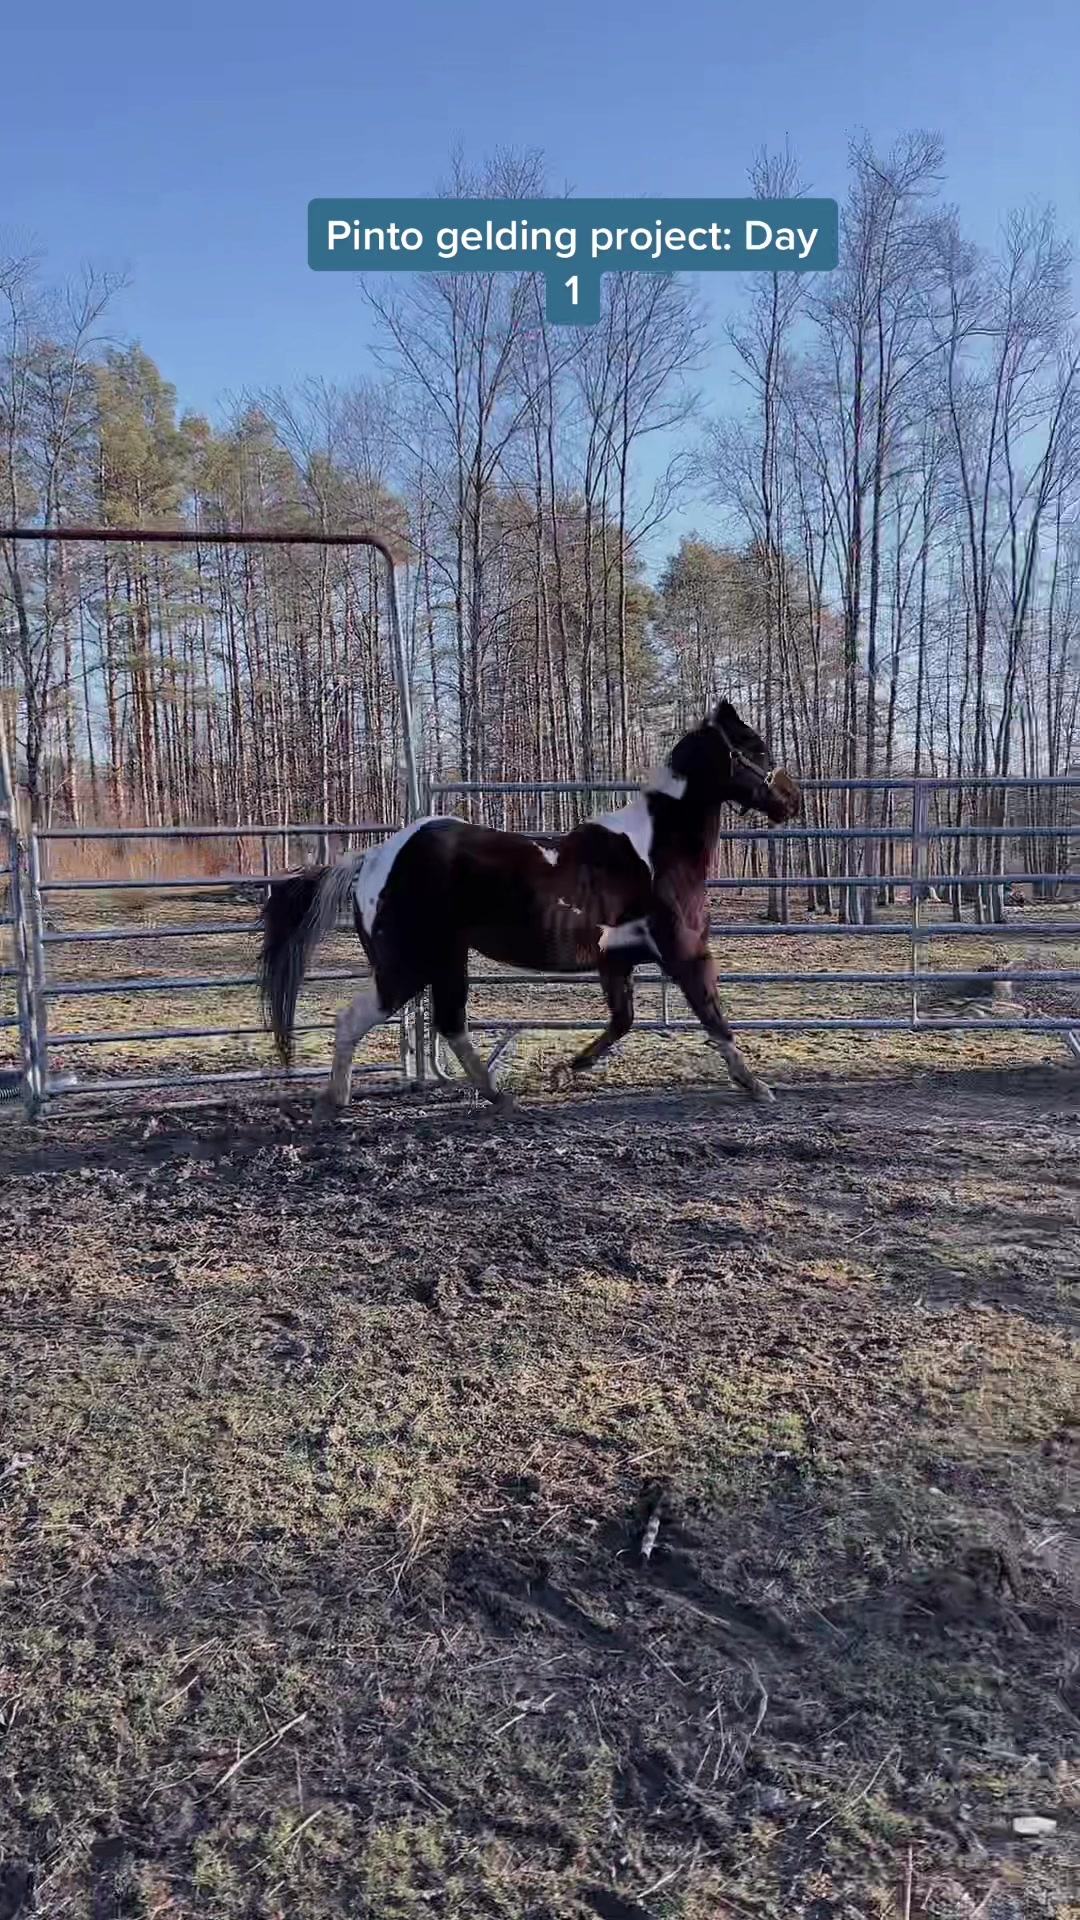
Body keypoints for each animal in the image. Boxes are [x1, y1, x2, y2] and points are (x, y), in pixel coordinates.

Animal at [257, 699, 802, 1118]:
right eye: (754, 747)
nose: (792, 799)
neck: (655, 852)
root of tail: (372, 858)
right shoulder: (686, 954)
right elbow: (713, 1016)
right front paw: (755, 1084)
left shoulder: (616, 959)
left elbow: (622, 1022)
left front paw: (563, 1072)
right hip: (407, 966)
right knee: (355, 1020)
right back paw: (333, 1102)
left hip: (446, 961)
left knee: (450, 1024)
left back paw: (498, 1096)